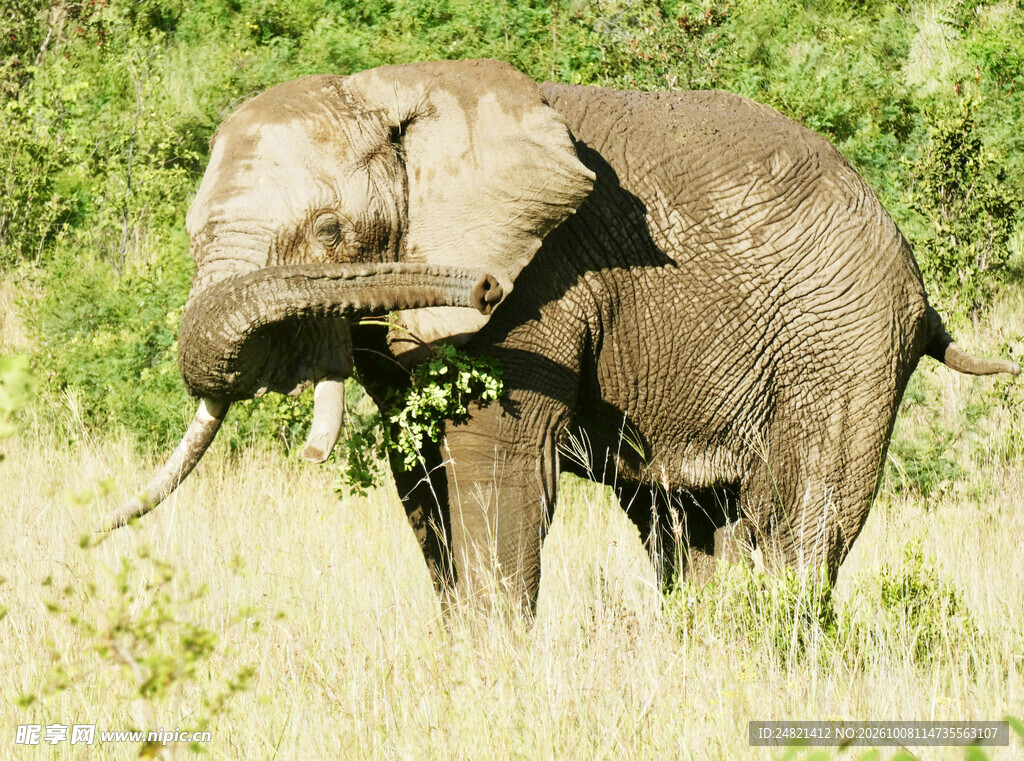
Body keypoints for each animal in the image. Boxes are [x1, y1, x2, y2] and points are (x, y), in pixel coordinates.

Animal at [108, 58, 1019, 612]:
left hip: (845, 333)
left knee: (800, 519)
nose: (476, 283)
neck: (396, 90)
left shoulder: (542, 282)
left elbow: (493, 462)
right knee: (686, 523)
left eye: (330, 231)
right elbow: (422, 475)